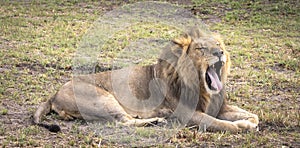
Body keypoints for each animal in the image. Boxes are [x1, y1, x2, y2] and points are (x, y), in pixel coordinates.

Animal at [32, 27, 258, 133]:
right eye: (201, 48)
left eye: (219, 45)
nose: (220, 53)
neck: (202, 88)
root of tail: (54, 94)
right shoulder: (186, 114)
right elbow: (221, 124)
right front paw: (242, 126)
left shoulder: (217, 107)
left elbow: (251, 115)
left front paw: (249, 121)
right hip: (103, 99)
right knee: (122, 122)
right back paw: (156, 120)